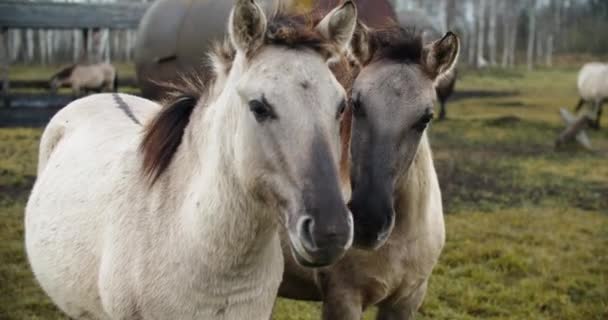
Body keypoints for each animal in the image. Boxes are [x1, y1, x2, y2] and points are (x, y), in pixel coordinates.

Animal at [278, 21, 458, 318]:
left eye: (425, 118)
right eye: (356, 103)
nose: (368, 221)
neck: (400, 241)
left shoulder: (407, 299)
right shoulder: (343, 298)